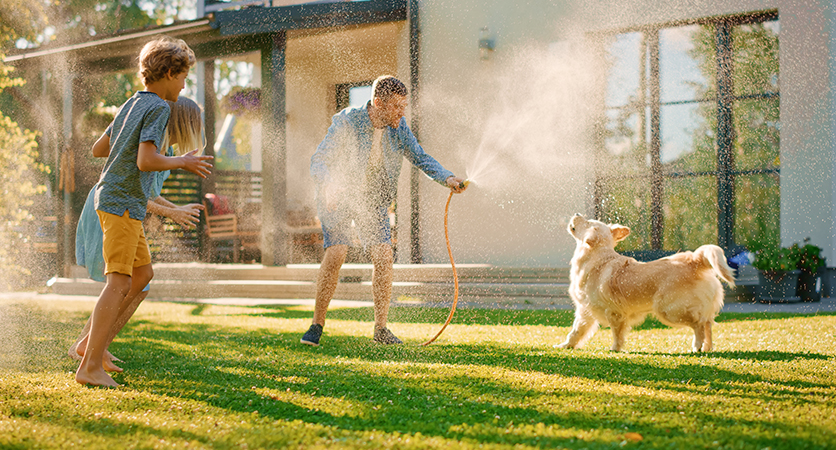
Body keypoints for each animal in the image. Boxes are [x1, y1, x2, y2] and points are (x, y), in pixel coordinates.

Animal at [560, 213, 736, 354]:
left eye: (587, 222)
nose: (577, 213)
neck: (598, 259)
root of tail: (693, 260)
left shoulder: (614, 313)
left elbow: (617, 333)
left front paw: (615, 349)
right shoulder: (585, 311)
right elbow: (576, 331)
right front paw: (566, 345)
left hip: (669, 310)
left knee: (699, 324)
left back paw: (697, 346)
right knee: (708, 324)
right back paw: (707, 347)